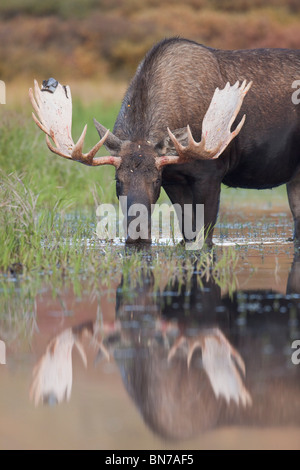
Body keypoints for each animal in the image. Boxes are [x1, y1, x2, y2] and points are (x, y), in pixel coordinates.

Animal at [29, 37, 300, 246]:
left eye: (155, 180)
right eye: (118, 181)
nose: (137, 233)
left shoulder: (211, 174)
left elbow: (205, 238)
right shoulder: (176, 179)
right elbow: (187, 233)